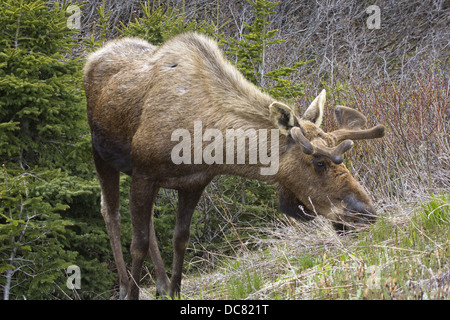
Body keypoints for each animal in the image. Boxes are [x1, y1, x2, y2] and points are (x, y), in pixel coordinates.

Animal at [82, 31, 384, 298]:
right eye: (319, 162)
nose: (366, 212)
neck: (199, 143)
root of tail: (92, 57)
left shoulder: (193, 183)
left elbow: (180, 239)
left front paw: (174, 290)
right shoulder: (144, 173)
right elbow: (138, 244)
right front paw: (133, 292)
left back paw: (162, 284)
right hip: (101, 154)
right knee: (110, 212)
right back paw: (125, 286)